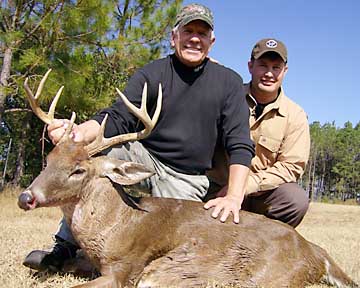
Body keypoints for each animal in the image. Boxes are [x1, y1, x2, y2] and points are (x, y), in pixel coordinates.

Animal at [19, 70, 358, 288]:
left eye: (79, 169)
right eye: (49, 160)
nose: (27, 197)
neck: (117, 223)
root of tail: (317, 253)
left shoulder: (125, 268)